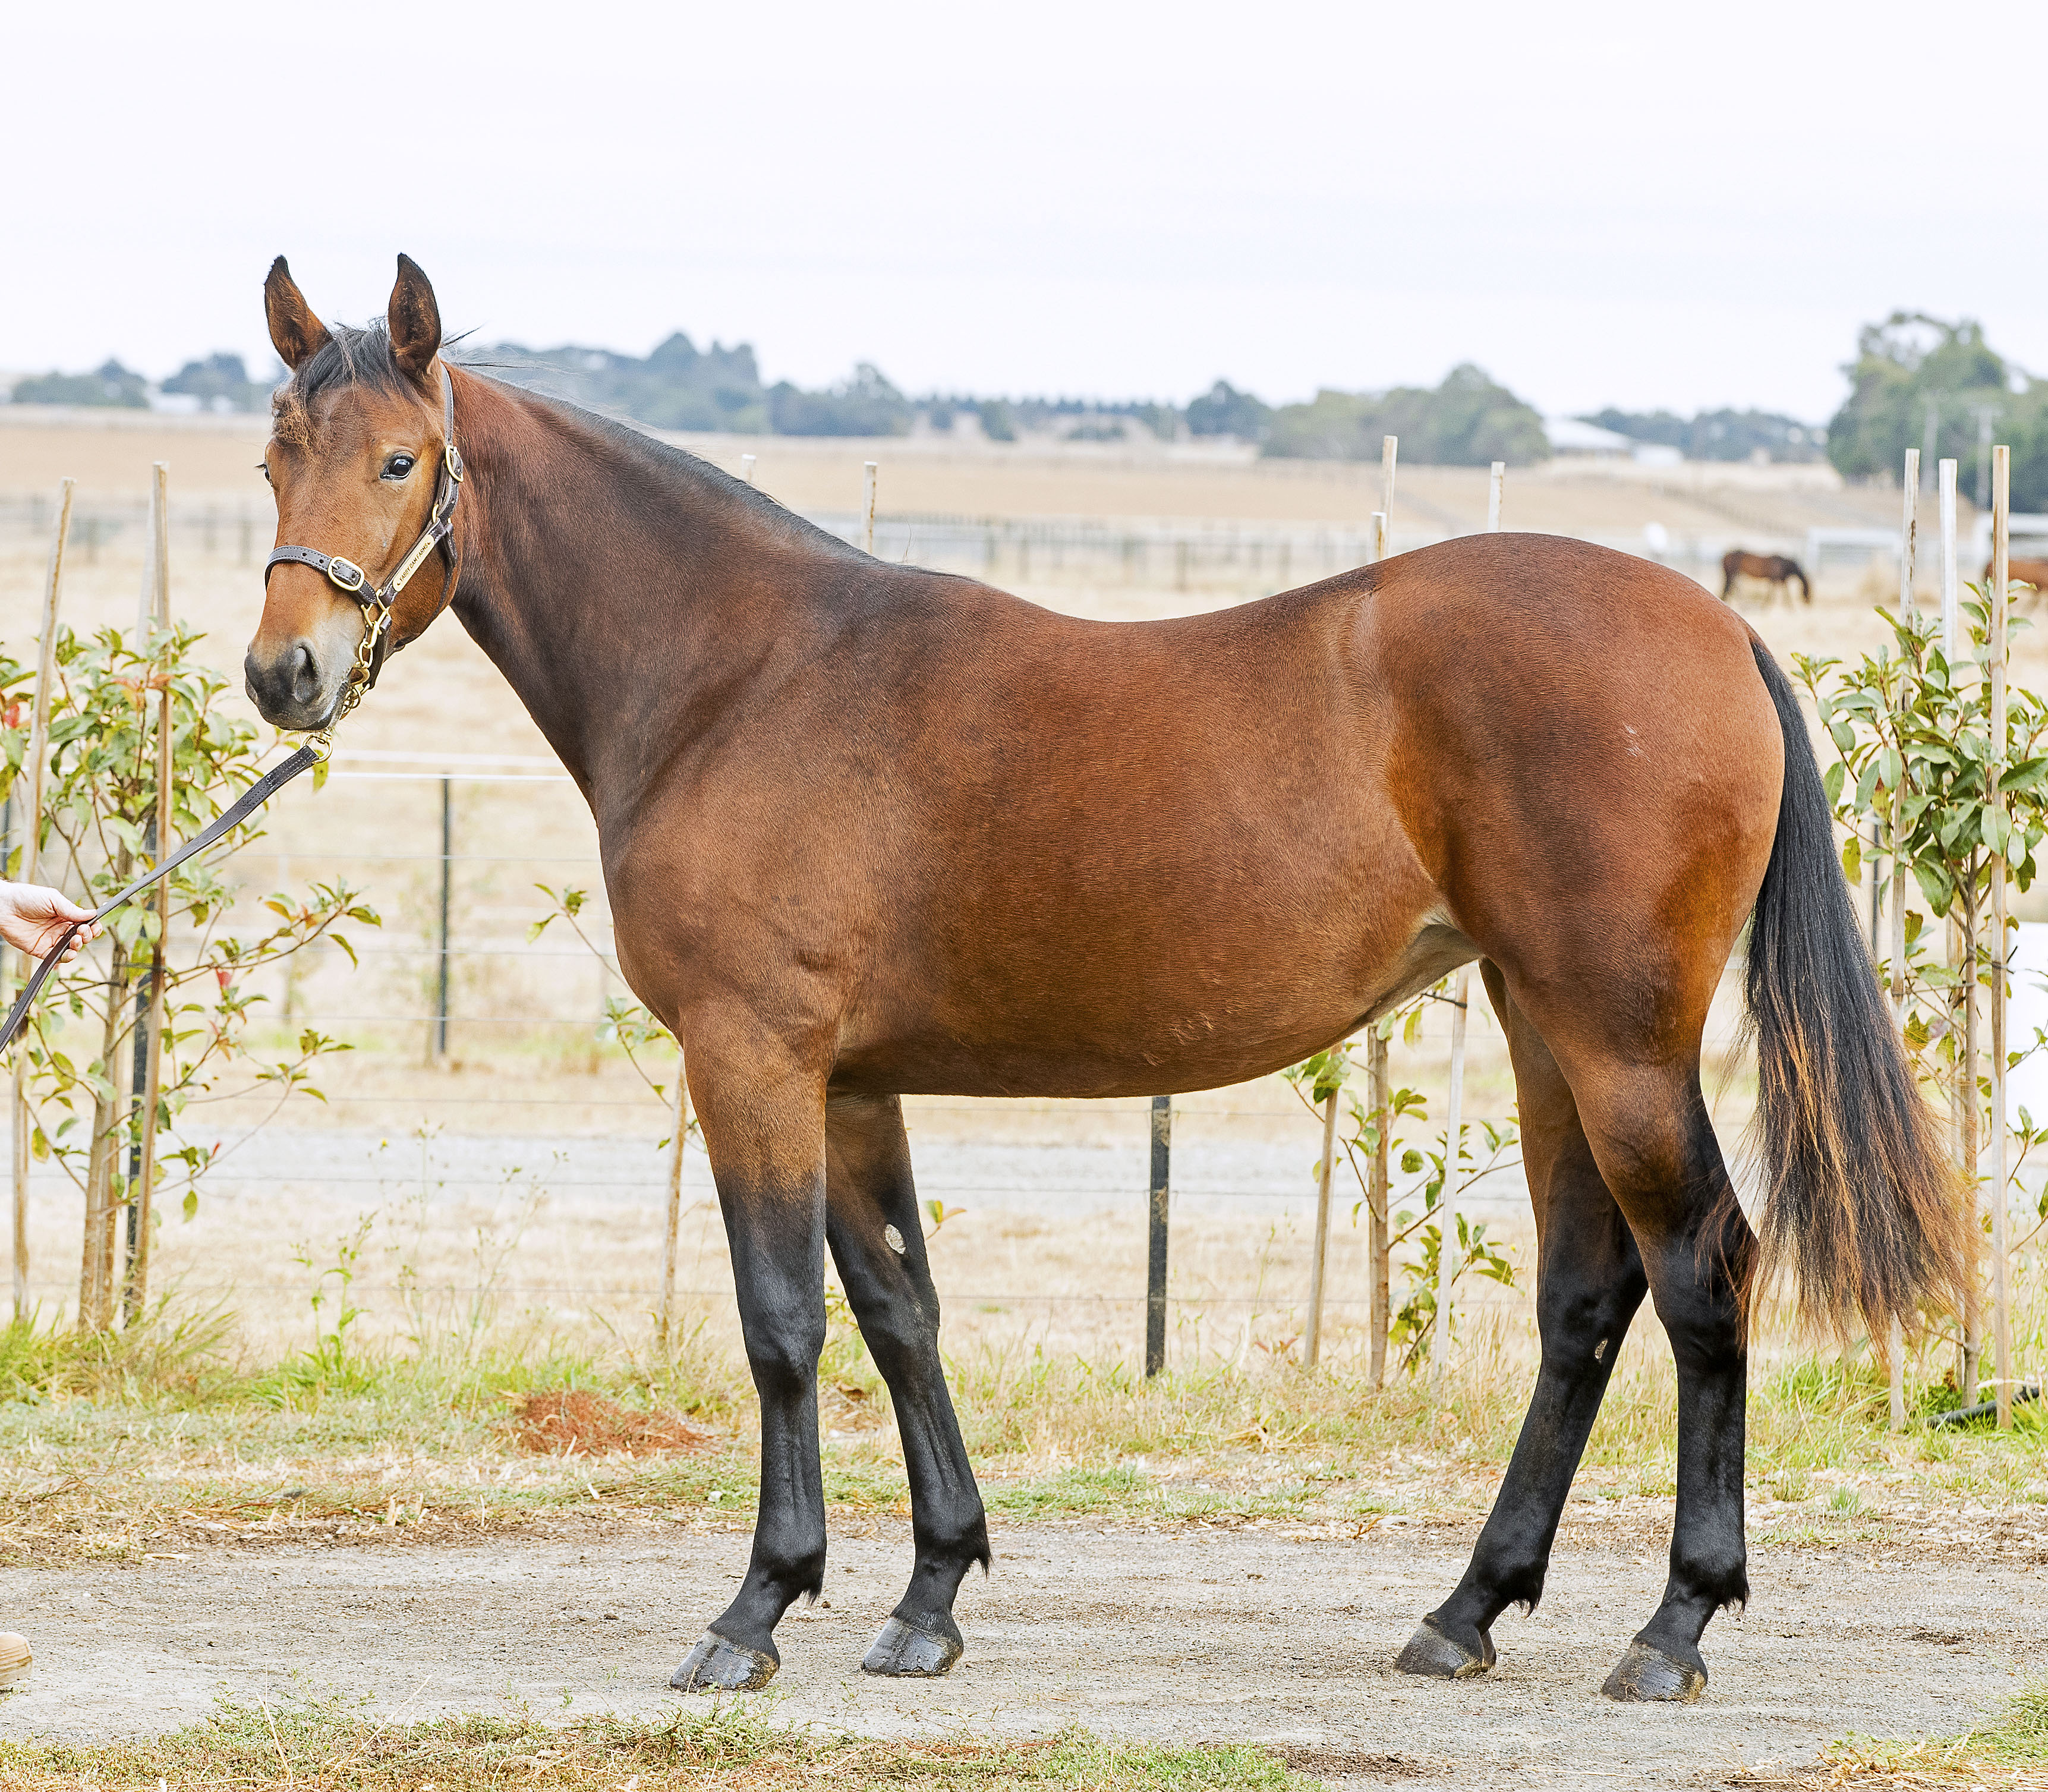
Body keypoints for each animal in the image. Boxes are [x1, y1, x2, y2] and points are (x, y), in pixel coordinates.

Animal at [1720, 550, 1811, 606]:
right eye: (1807, 591)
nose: (1808, 602)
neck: (1784, 565)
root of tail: (1726, 555)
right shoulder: (1774, 579)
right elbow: (1774, 593)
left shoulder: (1779, 580)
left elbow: (1784, 592)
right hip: (1733, 574)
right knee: (1730, 588)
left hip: (1730, 574)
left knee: (1728, 588)